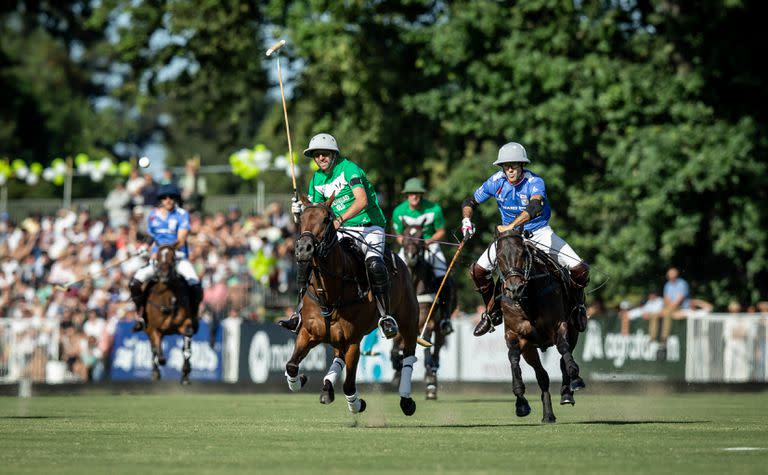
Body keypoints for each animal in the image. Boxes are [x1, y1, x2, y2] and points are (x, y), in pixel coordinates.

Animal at [143, 247, 198, 384]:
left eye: (173, 257)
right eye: (158, 257)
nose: (164, 275)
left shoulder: (185, 323)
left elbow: (186, 348)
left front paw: (186, 373)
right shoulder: (153, 329)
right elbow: (158, 352)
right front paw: (160, 364)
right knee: (153, 349)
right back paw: (155, 372)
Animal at [284, 194, 420, 416]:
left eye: (326, 219)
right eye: (301, 218)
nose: (303, 250)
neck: (329, 292)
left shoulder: (353, 341)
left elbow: (348, 385)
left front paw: (358, 404)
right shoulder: (308, 332)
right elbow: (291, 366)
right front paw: (301, 380)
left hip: (408, 319)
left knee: (408, 355)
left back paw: (406, 401)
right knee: (337, 357)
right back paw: (327, 388)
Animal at [396, 221, 456, 400]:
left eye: (421, 237)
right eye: (405, 235)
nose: (411, 256)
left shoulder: (424, 316)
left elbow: (426, 339)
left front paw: (430, 378)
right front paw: (396, 364)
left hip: (441, 323)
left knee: (437, 346)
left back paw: (431, 380)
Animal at [496, 231, 584, 424]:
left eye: (523, 254)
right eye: (498, 258)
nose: (514, 288)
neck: (527, 297)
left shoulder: (560, 325)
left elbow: (564, 349)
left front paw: (575, 378)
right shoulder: (515, 335)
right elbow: (513, 358)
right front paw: (521, 402)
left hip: (574, 330)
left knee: (563, 356)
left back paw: (567, 392)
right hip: (530, 349)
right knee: (542, 376)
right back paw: (548, 415)